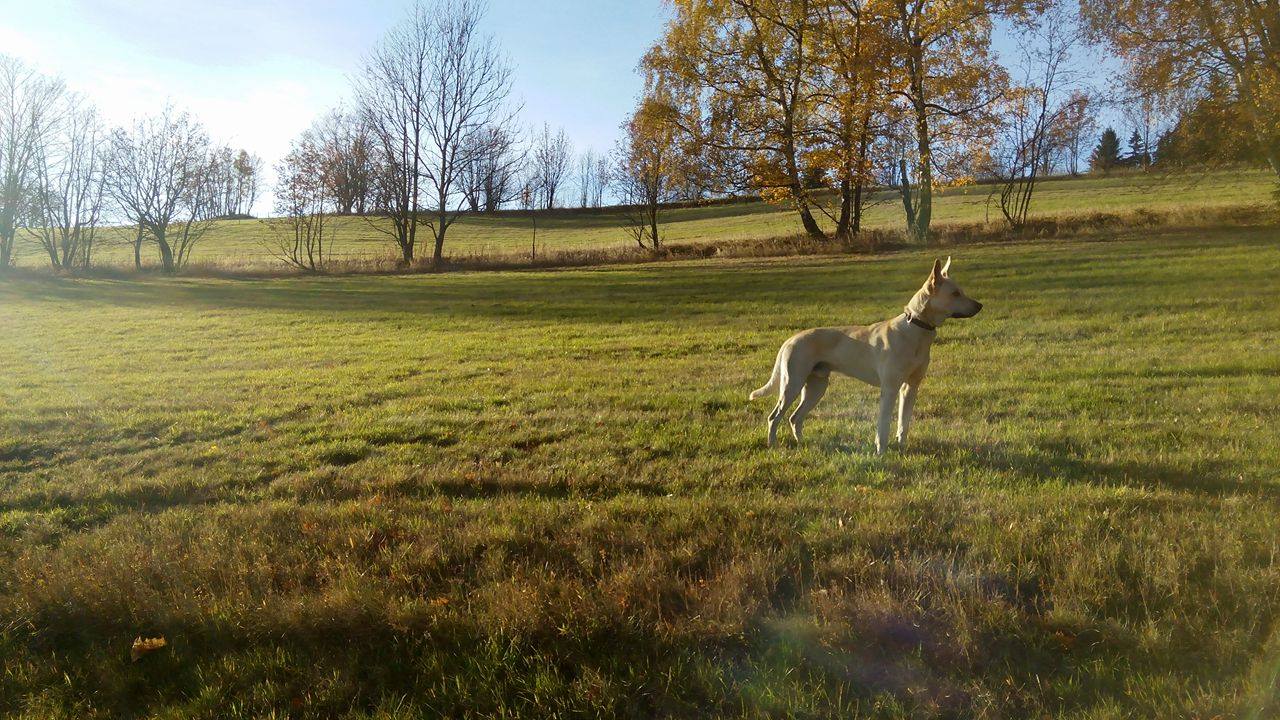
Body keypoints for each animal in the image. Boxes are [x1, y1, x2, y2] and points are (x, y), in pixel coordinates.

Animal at [749, 257, 982, 454]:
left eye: (961, 291)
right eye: (955, 294)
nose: (980, 305)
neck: (915, 329)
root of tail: (790, 340)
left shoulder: (910, 387)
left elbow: (903, 423)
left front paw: (902, 447)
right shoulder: (889, 389)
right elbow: (884, 425)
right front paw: (881, 452)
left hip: (816, 387)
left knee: (795, 418)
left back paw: (801, 443)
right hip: (792, 384)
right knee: (774, 417)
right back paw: (772, 444)